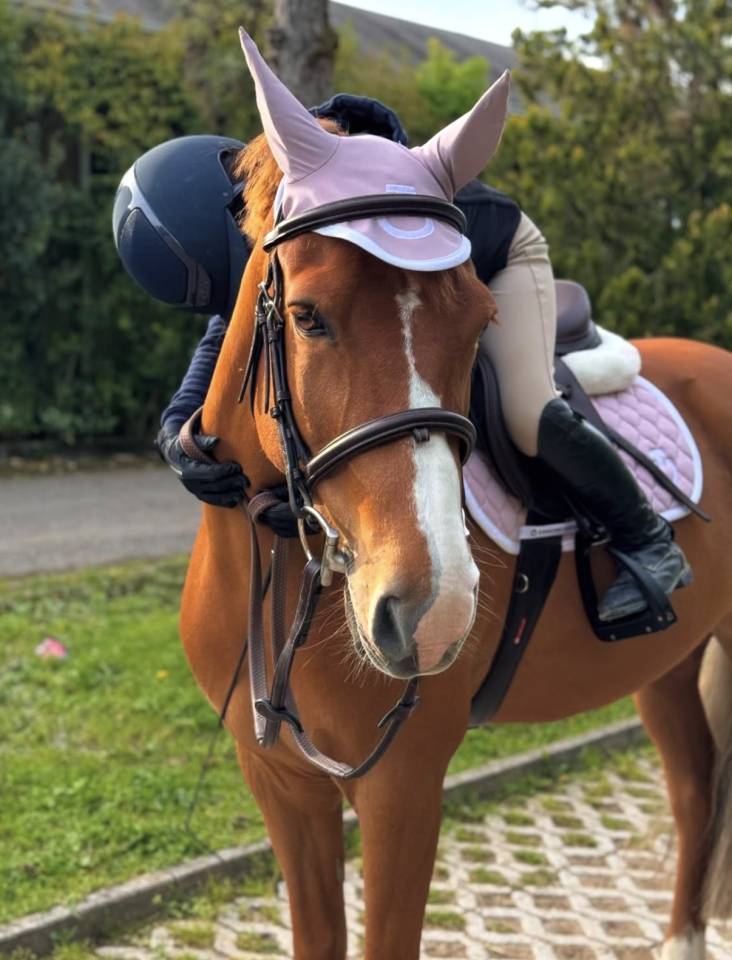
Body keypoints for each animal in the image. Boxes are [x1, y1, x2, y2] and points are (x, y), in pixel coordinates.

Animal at [179, 34, 732, 960]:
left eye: (478, 323)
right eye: (307, 315)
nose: (430, 611)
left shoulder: (403, 785)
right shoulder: (283, 785)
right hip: (670, 659)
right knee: (695, 783)